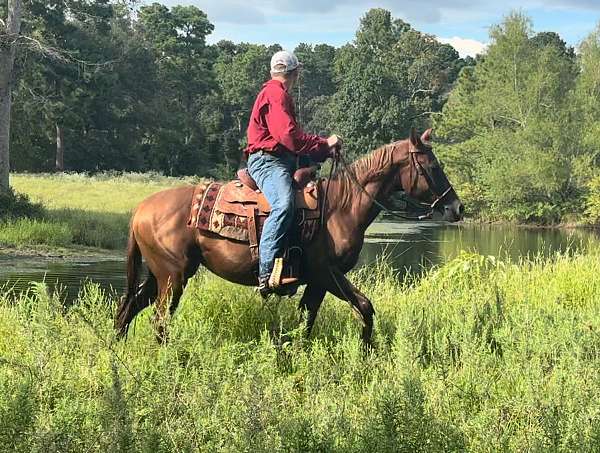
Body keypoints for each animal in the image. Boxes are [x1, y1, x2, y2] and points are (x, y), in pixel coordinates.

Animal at [116, 129, 464, 344]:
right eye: (432, 165)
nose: (457, 207)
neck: (341, 207)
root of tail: (141, 209)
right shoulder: (327, 274)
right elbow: (364, 307)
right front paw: (365, 352)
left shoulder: (317, 282)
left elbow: (307, 321)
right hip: (173, 276)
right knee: (159, 320)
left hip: (160, 274)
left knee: (128, 308)